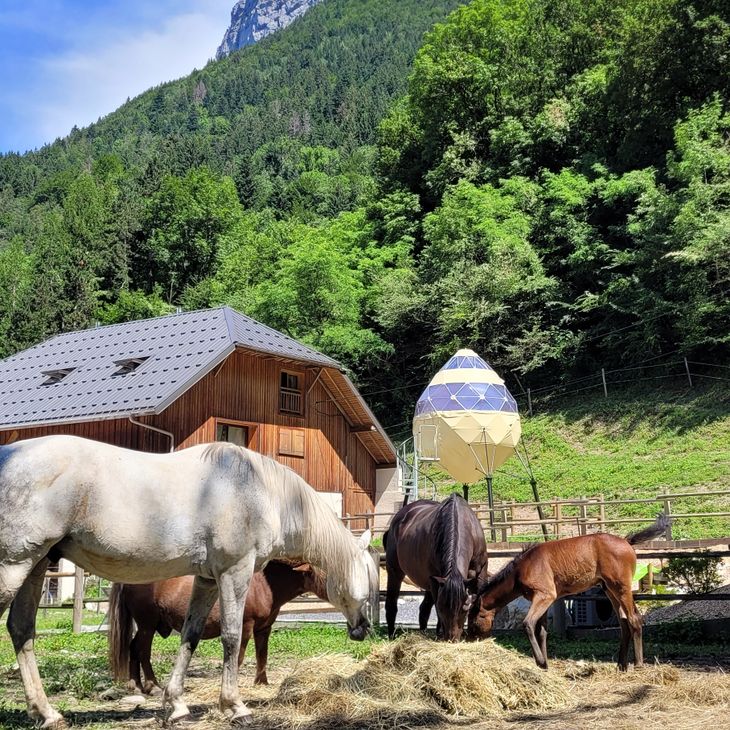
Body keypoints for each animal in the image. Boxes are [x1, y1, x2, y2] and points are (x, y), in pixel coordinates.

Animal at [109, 560, 328, 692]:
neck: (263, 584)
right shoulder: (245, 627)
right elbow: (238, 658)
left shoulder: (263, 629)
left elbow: (262, 655)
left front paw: (261, 682)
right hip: (147, 624)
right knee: (142, 651)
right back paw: (152, 685)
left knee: (133, 648)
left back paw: (135, 684)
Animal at [382, 492, 490, 640]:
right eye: (443, 609)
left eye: (463, 610)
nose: (452, 639)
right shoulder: (435, 580)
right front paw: (440, 633)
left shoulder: (480, 573)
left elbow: (478, 602)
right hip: (395, 571)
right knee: (392, 604)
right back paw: (391, 635)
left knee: (424, 609)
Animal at [466, 512, 664, 664]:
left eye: (475, 619)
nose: (470, 639)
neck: (522, 569)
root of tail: (627, 541)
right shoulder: (544, 600)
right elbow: (542, 631)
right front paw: (544, 664)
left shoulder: (544, 596)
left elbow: (528, 624)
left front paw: (541, 661)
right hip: (609, 590)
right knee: (624, 622)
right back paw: (622, 665)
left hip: (621, 588)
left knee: (635, 619)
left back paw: (637, 664)